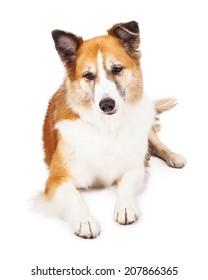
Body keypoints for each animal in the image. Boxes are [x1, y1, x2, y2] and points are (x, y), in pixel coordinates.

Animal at [39, 20, 187, 238]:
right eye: (88, 75)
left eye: (117, 69)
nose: (107, 105)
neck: (105, 126)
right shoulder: (57, 178)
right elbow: (74, 197)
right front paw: (84, 220)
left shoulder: (134, 167)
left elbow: (126, 183)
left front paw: (125, 207)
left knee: (157, 143)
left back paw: (172, 156)